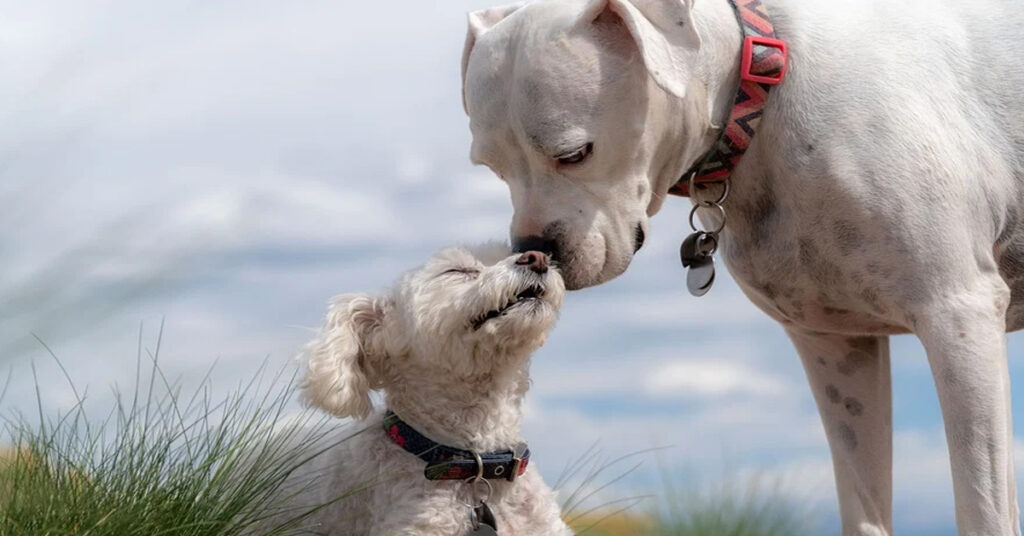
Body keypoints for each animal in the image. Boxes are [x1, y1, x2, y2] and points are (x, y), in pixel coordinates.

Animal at [462, 1, 1024, 536]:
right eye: (492, 168)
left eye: (575, 153)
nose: (534, 250)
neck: (760, 91)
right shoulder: (836, 347)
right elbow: (864, 509)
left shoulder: (958, 316)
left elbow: (984, 508)